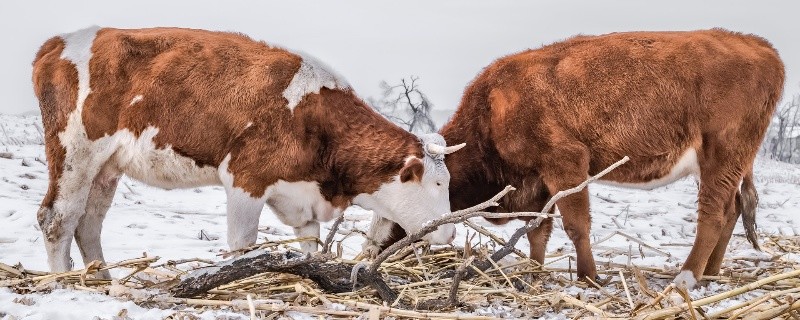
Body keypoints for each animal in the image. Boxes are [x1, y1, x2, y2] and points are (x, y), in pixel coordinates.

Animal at [32, 26, 462, 278]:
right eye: (438, 184)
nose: (451, 232)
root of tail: (59, 41)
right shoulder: (245, 178)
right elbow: (243, 244)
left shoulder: (303, 198)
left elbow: (310, 248)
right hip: (75, 150)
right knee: (57, 218)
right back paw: (61, 282)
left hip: (107, 165)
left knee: (88, 222)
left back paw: (100, 280)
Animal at [378, 28, 784, 288]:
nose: (376, 246)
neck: (493, 109)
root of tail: (759, 46)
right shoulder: (540, 180)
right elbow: (538, 230)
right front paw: (534, 270)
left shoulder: (566, 164)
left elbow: (576, 226)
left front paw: (589, 277)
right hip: (723, 164)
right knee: (732, 209)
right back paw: (711, 272)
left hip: (722, 154)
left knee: (713, 214)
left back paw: (686, 278)